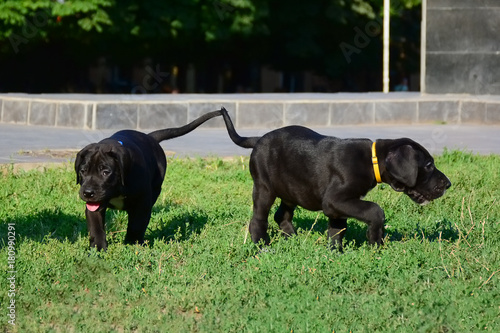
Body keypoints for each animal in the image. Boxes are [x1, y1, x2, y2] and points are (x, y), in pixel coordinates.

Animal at [75, 109, 222, 249]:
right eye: (83, 171)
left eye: (106, 172)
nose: (87, 193)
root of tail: (150, 137)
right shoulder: (95, 207)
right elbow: (96, 228)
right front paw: (98, 249)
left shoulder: (142, 204)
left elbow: (136, 225)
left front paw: (132, 245)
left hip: (155, 189)